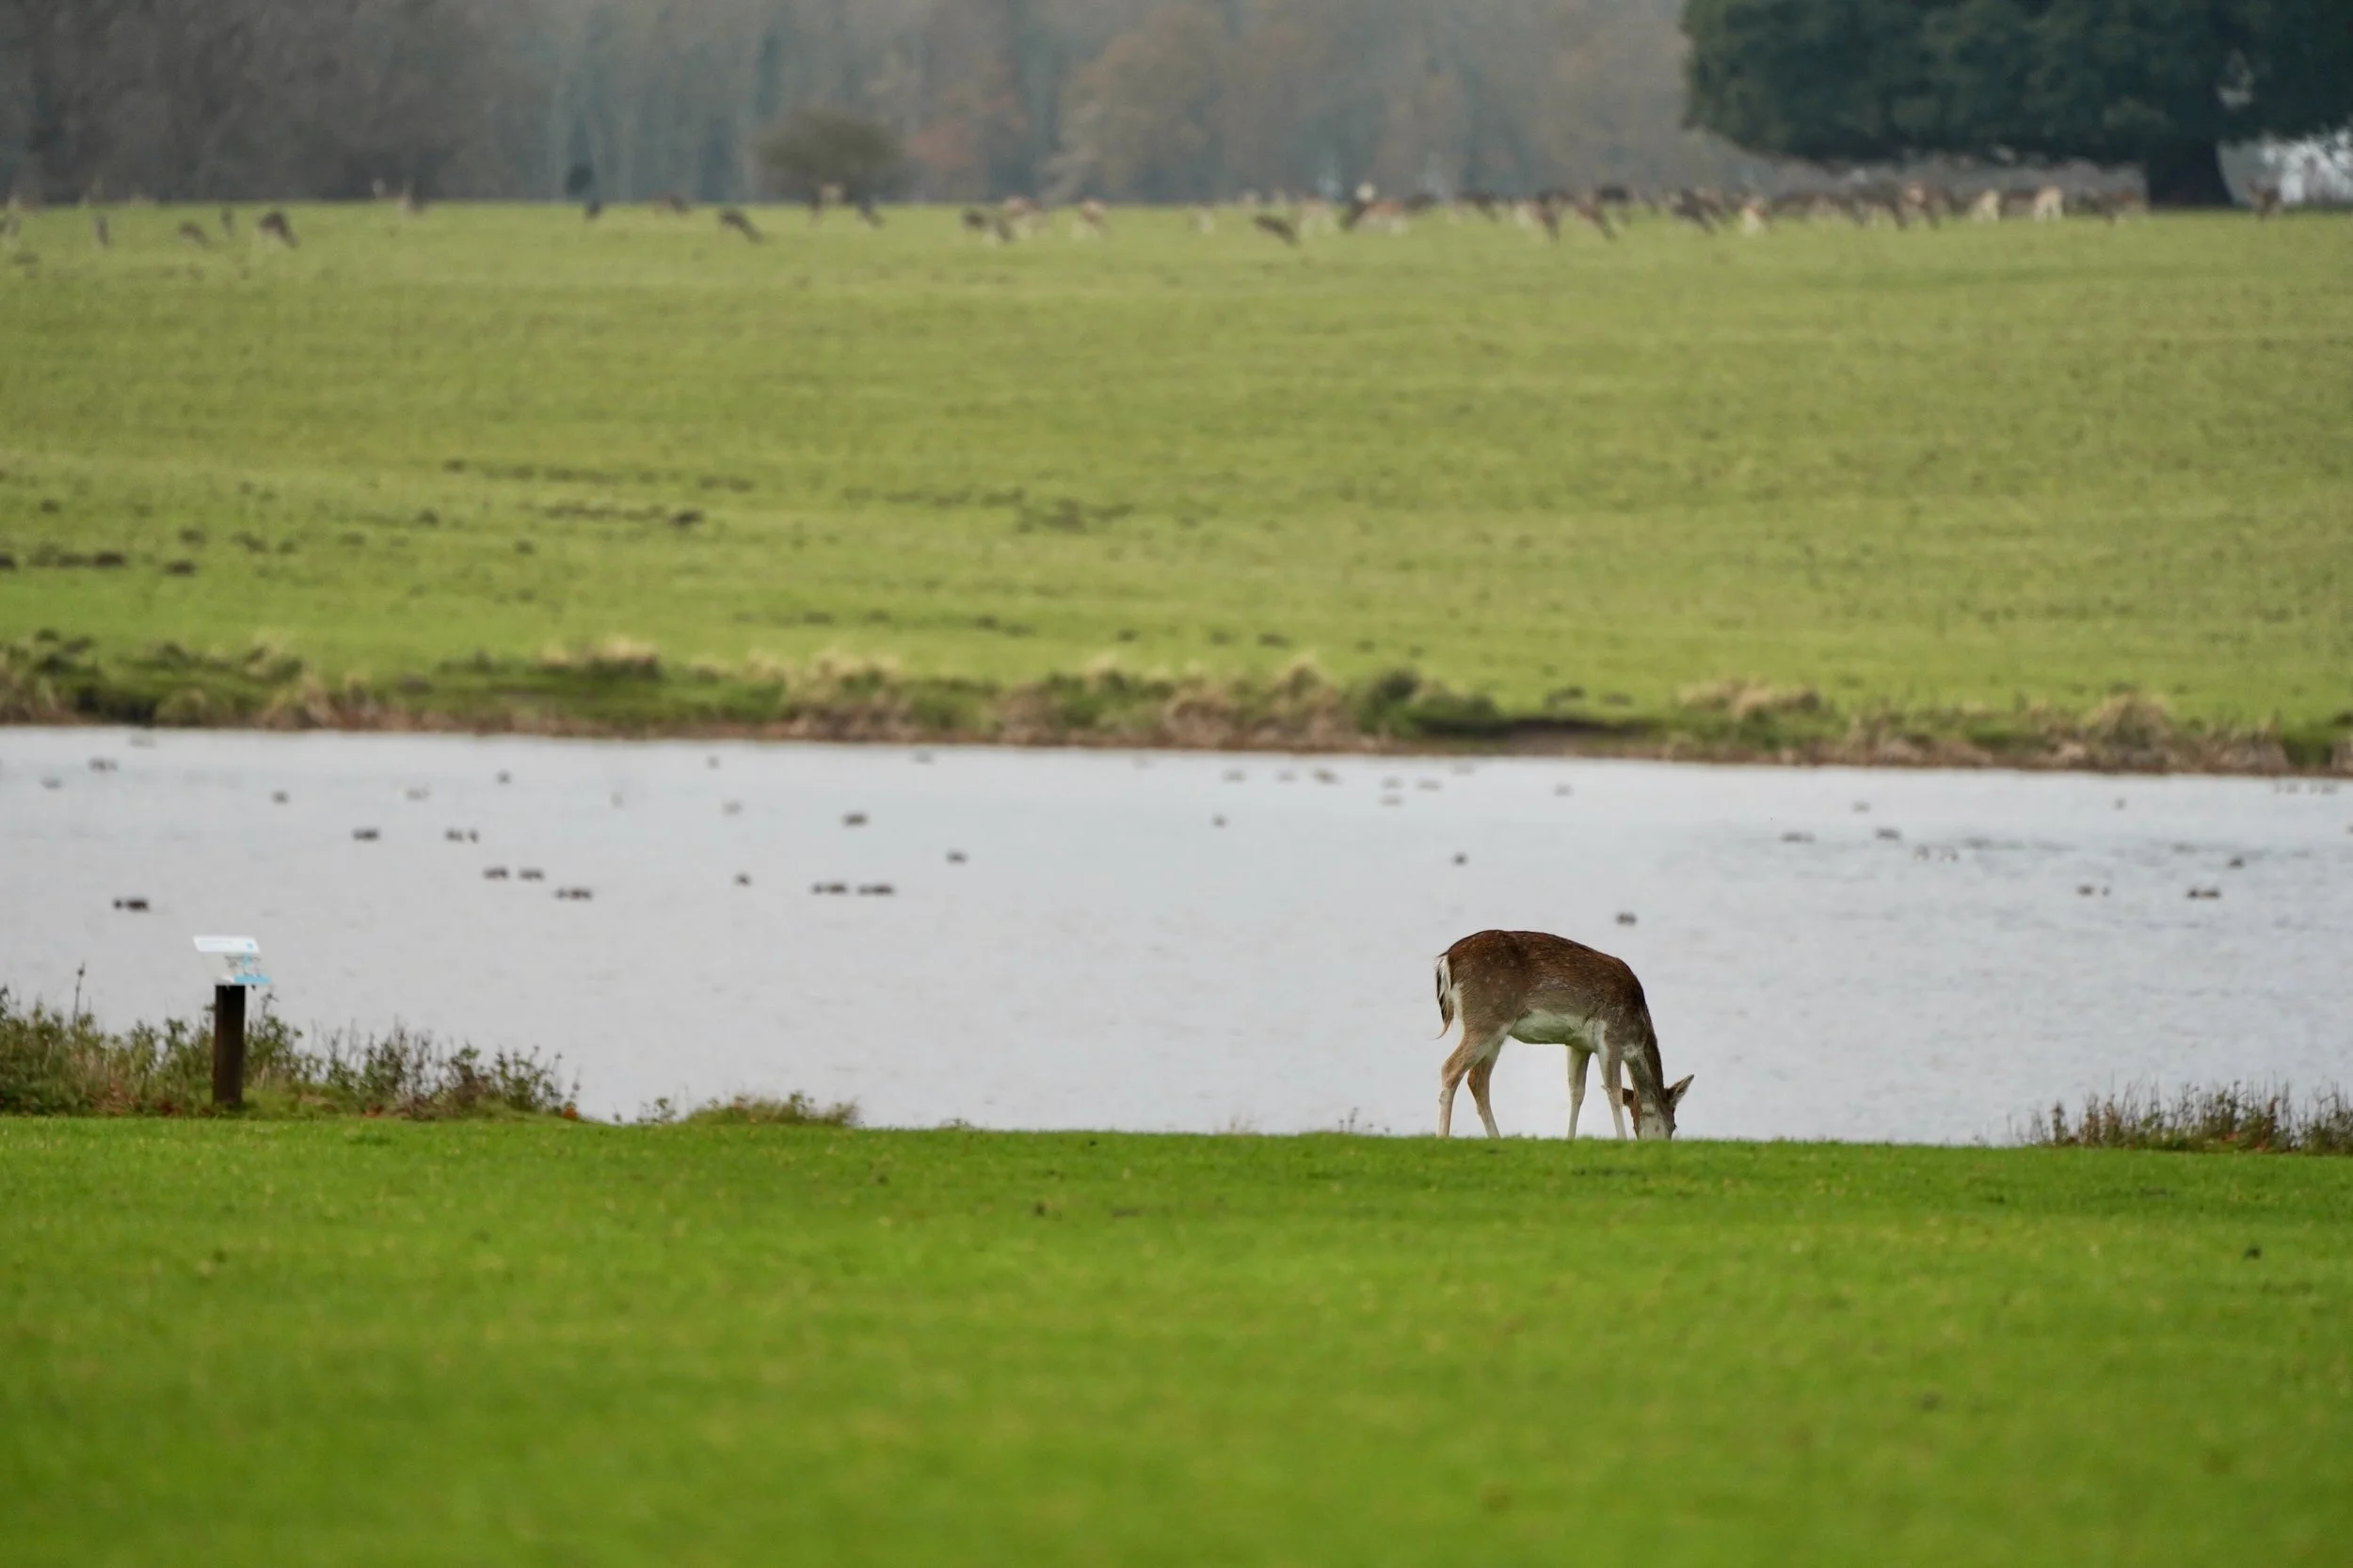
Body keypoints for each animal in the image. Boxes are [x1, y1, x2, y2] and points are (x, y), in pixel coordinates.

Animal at [1434, 929, 1692, 1141]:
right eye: (1674, 1124)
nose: (1663, 1145)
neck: (1637, 1034)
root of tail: (1446, 961)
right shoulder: (1611, 1037)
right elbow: (1614, 1091)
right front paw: (1621, 1140)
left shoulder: (1579, 1044)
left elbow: (1576, 1092)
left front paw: (1569, 1139)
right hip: (1486, 1020)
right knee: (1450, 1068)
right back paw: (1442, 1137)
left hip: (1495, 1033)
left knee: (1477, 1080)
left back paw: (1497, 1138)